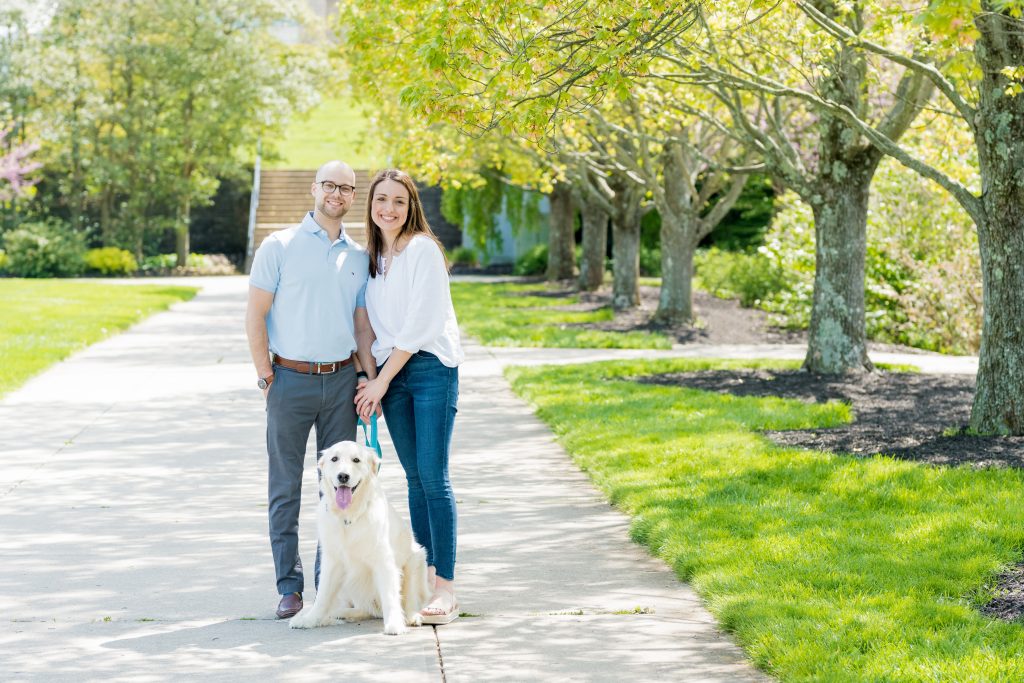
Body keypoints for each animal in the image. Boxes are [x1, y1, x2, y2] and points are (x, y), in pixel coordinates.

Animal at [290, 440, 430, 634]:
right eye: (334, 459)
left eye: (356, 460)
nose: (343, 476)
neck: (348, 516)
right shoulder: (332, 561)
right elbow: (323, 595)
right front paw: (311, 619)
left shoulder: (384, 560)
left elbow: (390, 595)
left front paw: (394, 624)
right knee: (363, 609)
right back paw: (340, 614)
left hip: (416, 558)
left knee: (408, 600)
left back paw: (411, 617)